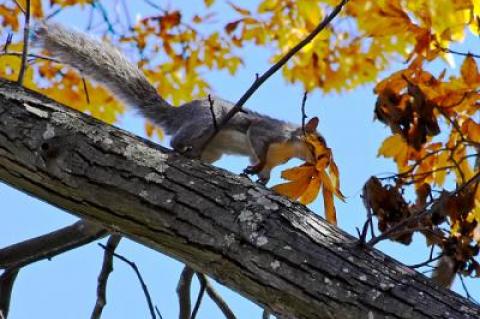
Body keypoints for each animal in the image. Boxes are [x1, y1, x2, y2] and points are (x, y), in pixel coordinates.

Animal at [32, 22, 326, 184]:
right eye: (320, 142)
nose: (321, 162)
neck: (288, 148)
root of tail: (178, 114)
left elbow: (265, 167)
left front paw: (261, 177)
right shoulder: (267, 132)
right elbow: (258, 142)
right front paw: (256, 168)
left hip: (212, 150)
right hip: (205, 123)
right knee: (177, 139)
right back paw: (179, 147)